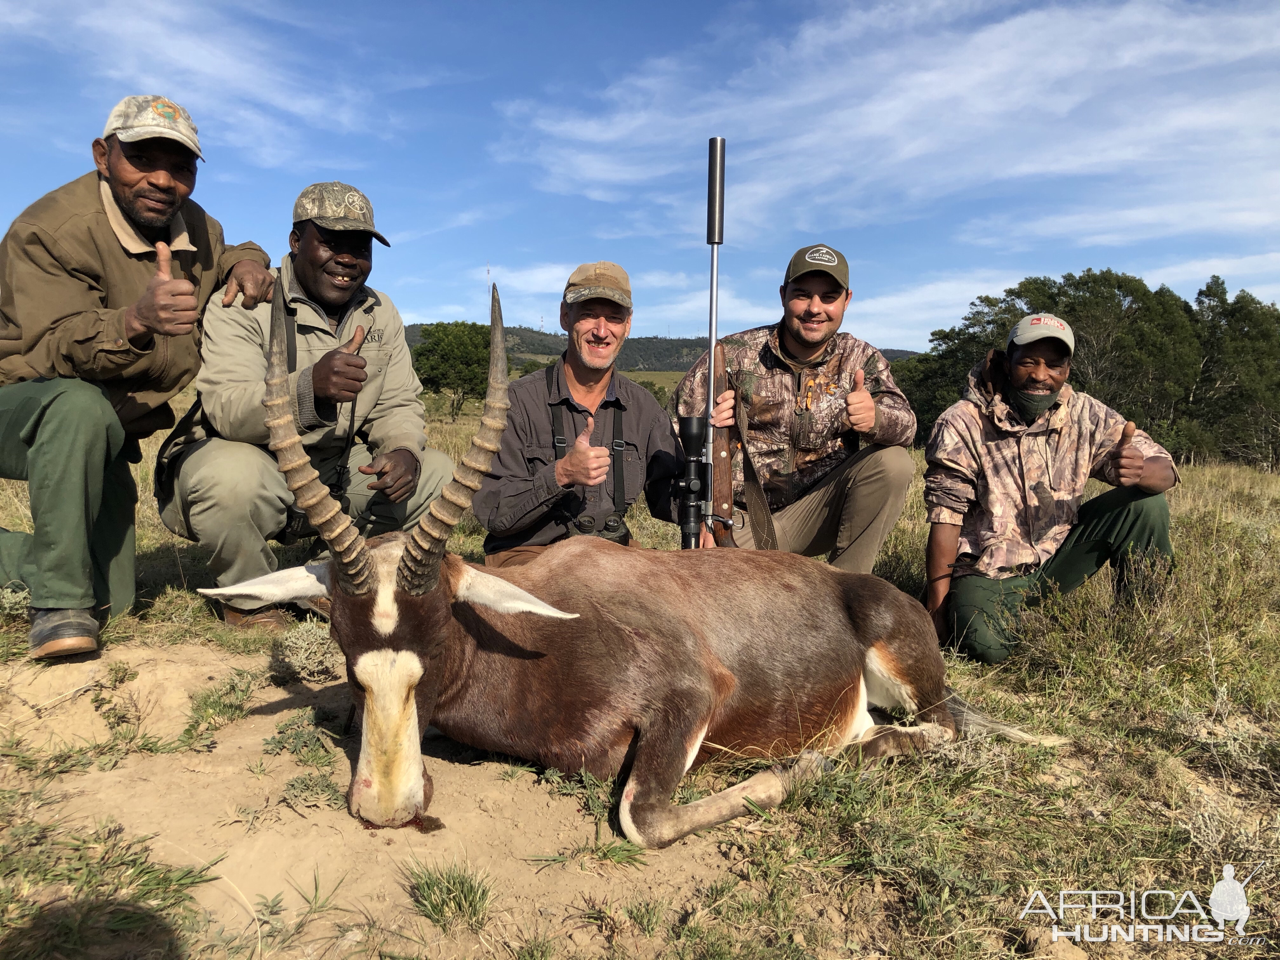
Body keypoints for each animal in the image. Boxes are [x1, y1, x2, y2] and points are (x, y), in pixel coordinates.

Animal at [199, 285, 1059, 849]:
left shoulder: (691, 697)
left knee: (938, 726)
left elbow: (641, 821)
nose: (384, 805)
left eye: (438, 635)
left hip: (915, 684)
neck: (533, 640)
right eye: (345, 648)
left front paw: (799, 769)